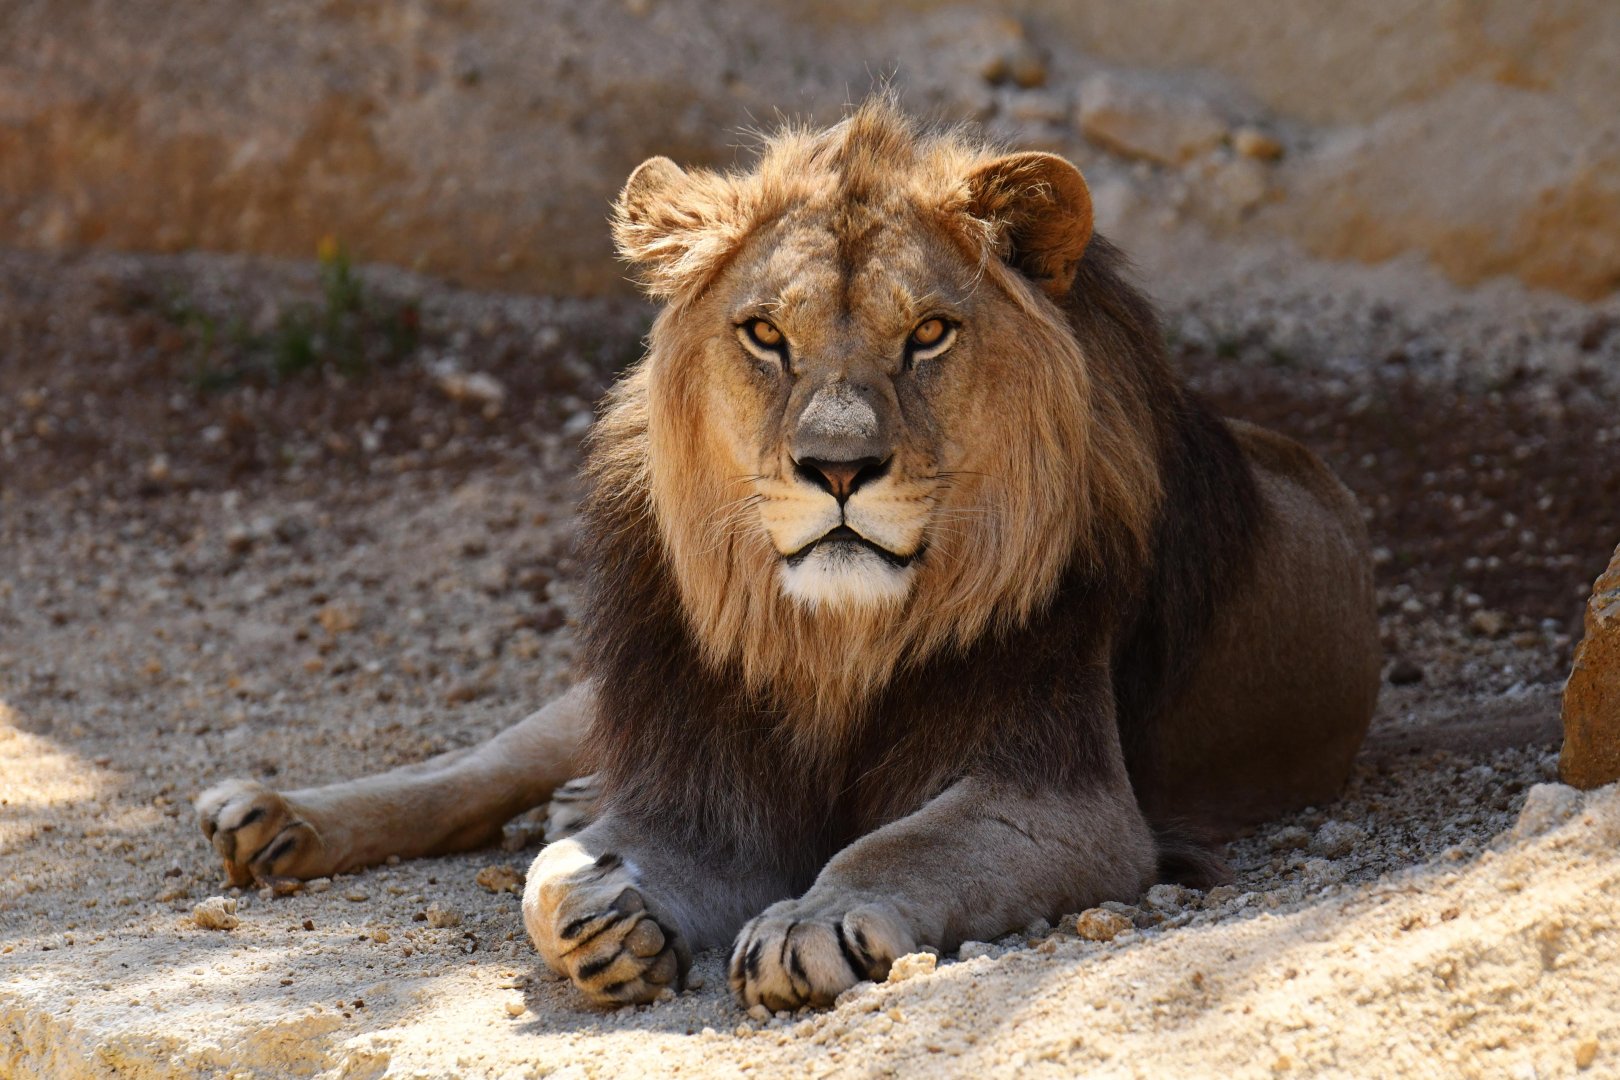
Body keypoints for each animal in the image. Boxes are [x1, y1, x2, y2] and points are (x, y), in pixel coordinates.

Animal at [196, 100, 1380, 1011]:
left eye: (930, 335)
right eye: (766, 335)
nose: (838, 468)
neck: (834, 640)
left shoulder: (1066, 797)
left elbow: (901, 846)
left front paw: (812, 922)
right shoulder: (707, 779)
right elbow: (552, 880)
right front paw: (607, 912)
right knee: (486, 764)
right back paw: (279, 816)